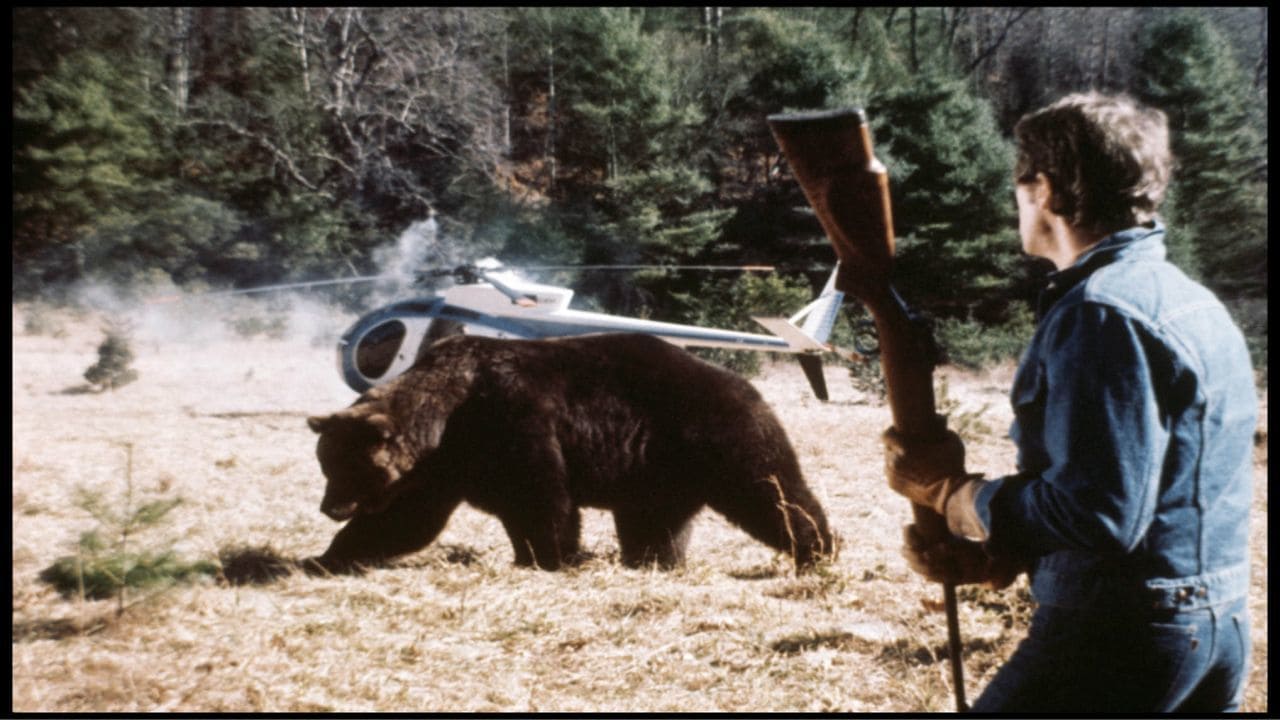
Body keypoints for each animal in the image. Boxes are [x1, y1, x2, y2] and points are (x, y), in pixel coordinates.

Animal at [306, 332, 834, 573]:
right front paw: (327, 556)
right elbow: (405, 519)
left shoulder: (512, 419)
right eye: (326, 464)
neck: (446, 418)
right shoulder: (443, 468)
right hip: (655, 470)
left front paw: (552, 557)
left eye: (349, 468)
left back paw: (818, 549)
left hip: (715, 433)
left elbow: (541, 500)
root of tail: (744, 383)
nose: (330, 508)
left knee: (771, 489)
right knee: (655, 521)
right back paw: (653, 560)